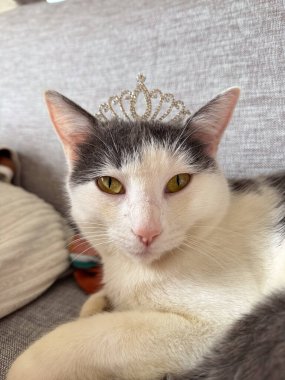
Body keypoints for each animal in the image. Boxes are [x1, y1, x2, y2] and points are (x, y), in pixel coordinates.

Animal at [6, 86, 284, 380]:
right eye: (109, 183)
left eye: (178, 181)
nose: (146, 231)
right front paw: (99, 302)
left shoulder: (215, 320)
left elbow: (108, 331)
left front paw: (28, 366)